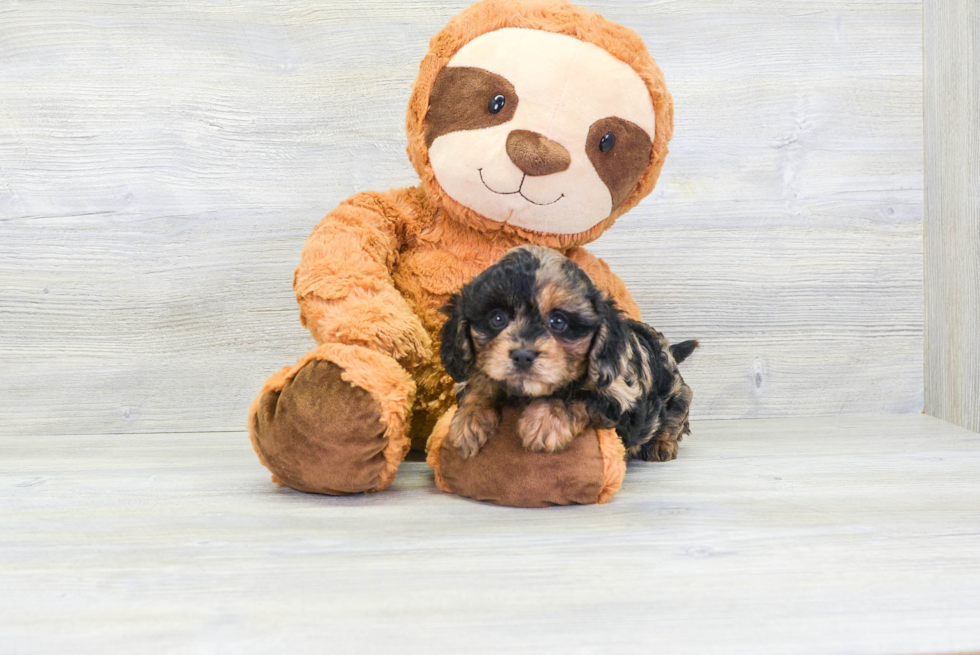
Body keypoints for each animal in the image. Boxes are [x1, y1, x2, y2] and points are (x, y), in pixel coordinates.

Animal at [440, 245, 692, 462]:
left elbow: (578, 396)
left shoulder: (624, 400)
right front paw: (469, 420)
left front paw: (545, 421)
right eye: (497, 318)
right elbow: (479, 386)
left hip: (676, 393)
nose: (523, 355)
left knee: (677, 416)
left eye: (558, 322)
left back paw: (662, 444)